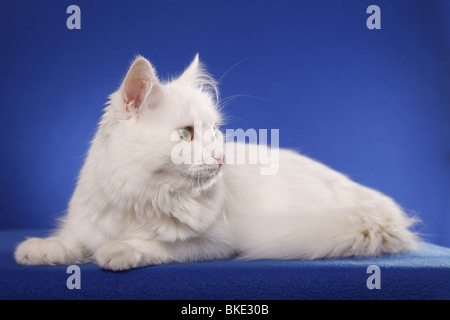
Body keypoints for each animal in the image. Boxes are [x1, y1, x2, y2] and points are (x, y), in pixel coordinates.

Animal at [15, 54, 420, 270]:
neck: (145, 196)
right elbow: (72, 241)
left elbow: (156, 245)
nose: (222, 157)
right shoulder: (89, 223)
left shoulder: (215, 243)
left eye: (214, 133)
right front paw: (38, 249)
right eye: (185, 134)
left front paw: (117, 251)